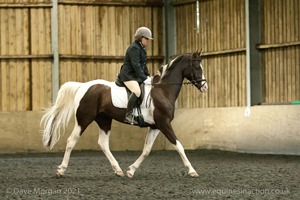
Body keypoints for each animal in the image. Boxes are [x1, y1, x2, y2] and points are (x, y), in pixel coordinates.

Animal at [41, 50, 207, 177]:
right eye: (197, 67)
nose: (205, 87)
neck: (163, 90)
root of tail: (83, 86)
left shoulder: (155, 126)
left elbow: (146, 150)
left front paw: (131, 171)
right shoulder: (164, 124)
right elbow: (179, 146)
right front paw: (192, 171)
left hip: (104, 120)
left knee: (103, 143)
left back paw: (118, 170)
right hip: (84, 120)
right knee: (71, 141)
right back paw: (61, 170)